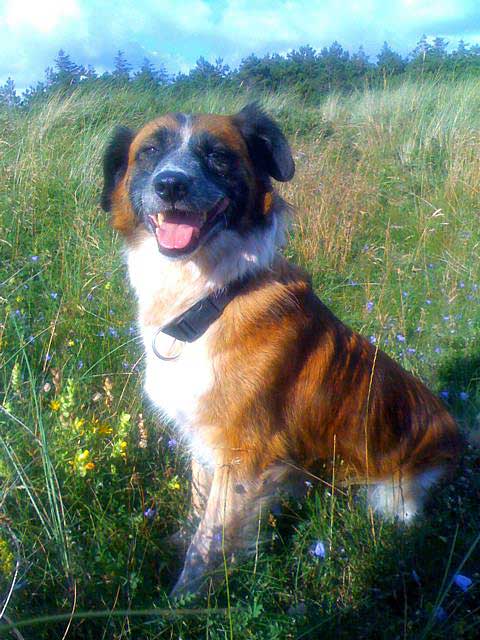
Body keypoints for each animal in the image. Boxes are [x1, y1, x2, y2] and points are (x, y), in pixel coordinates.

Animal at [101, 103, 461, 596]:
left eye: (219, 156)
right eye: (149, 152)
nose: (170, 185)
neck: (212, 294)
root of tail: (460, 438)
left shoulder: (244, 453)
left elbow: (208, 539)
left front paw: (183, 600)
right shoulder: (205, 440)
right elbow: (198, 503)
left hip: (392, 493)